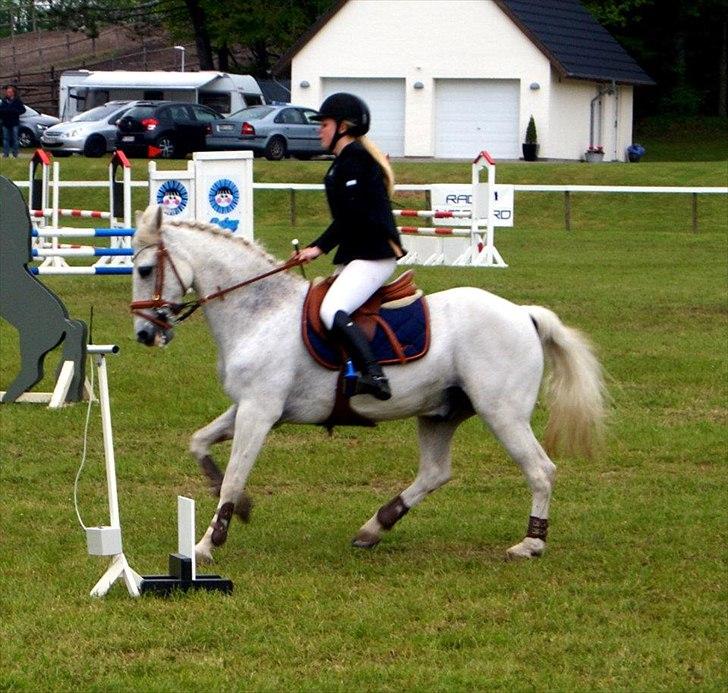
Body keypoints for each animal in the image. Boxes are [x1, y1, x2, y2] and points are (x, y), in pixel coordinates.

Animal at [132, 204, 608, 564]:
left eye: (144, 268)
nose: (144, 334)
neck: (261, 312)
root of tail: (523, 313)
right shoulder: (248, 406)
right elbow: (199, 443)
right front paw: (239, 508)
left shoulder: (260, 411)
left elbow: (233, 475)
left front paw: (206, 544)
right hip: (441, 412)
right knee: (435, 472)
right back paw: (374, 527)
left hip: (502, 413)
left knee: (541, 470)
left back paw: (531, 543)